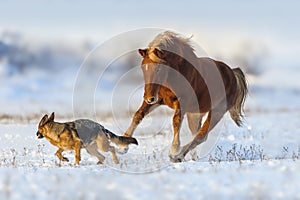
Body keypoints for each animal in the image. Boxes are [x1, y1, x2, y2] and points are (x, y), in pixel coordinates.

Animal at [120, 31, 247, 162]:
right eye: (143, 67)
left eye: (159, 68)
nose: (149, 97)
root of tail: (232, 73)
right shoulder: (157, 101)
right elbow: (138, 115)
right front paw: (123, 146)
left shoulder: (181, 102)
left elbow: (176, 121)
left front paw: (174, 150)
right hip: (195, 114)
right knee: (196, 134)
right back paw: (191, 158)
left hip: (217, 111)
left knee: (201, 135)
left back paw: (178, 156)